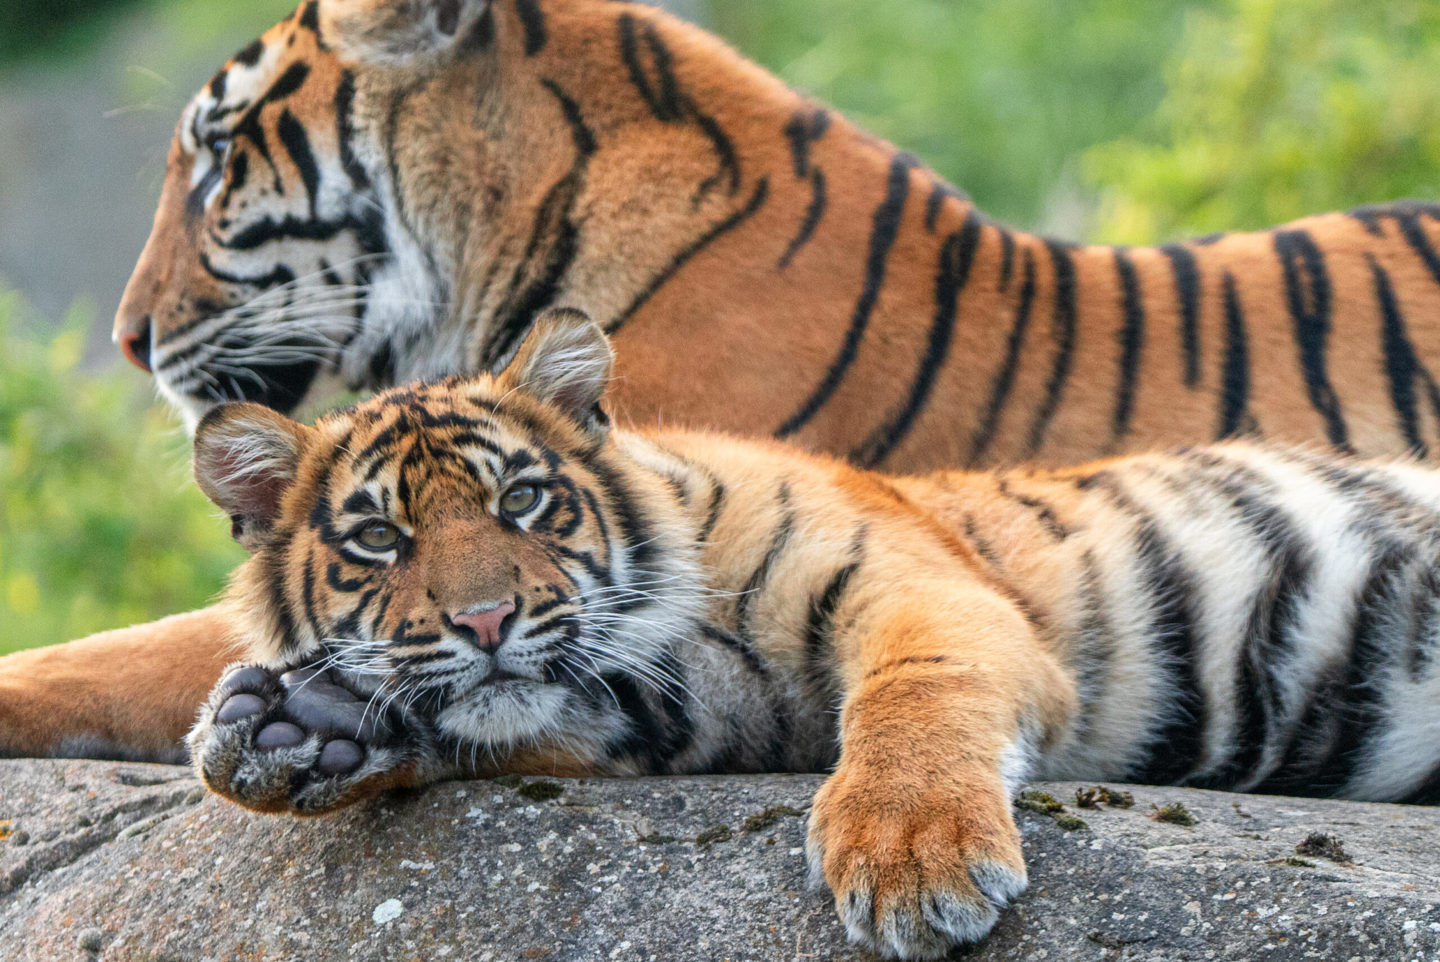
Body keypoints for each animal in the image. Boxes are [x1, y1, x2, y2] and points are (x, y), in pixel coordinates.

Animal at [188, 310, 1440, 959]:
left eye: (524, 502)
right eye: (379, 538)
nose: (485, 617)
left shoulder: (924, 587)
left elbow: (915, 693)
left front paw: (913, 855)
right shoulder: (722, 706)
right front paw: (294, 728)